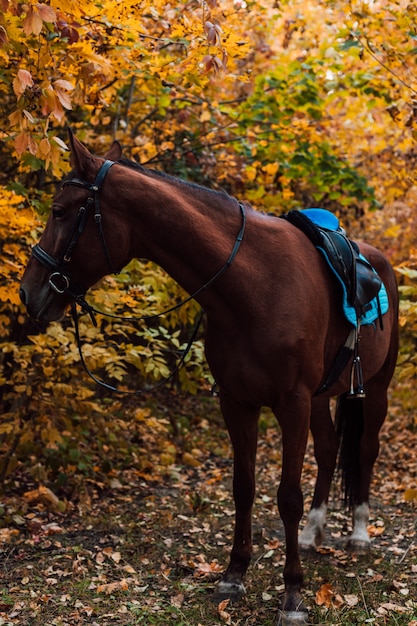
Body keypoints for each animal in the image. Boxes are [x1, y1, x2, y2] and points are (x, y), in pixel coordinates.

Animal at [19, 130, 396, 620]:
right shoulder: (237, 402)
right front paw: (234, 575)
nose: (28, 292)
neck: (254, 287)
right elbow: (243, 487)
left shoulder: (291, 403)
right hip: (321, 396)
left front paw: (293, 592)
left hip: (376, 388)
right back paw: (314, 533)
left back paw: (360, 534)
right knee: (331, 450)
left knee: (365, 449)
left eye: (61, 211)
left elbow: (287, 497)